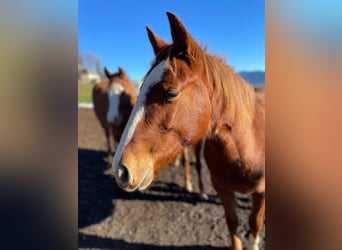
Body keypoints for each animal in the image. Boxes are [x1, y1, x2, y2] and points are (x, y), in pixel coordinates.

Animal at [111, 12, 264, 250]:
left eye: (171, 93)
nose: (120, 170)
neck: (244, 148)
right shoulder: (223, 190)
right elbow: (233, 223)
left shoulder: (261, 194)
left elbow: (255, 225)